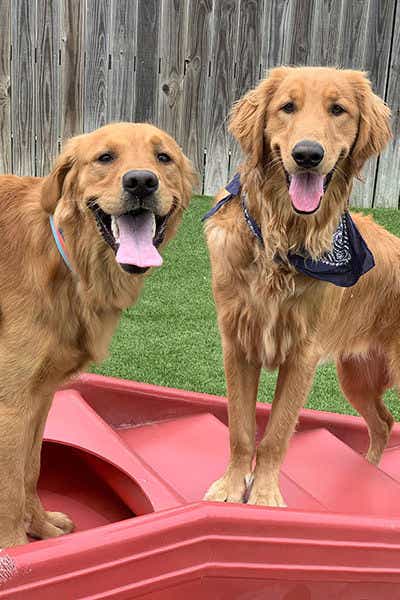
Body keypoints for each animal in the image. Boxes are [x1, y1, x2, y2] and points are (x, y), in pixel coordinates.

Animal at [0, 120, 195, 544]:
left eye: (163, 157)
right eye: (105, 157)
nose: (141, 182)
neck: (64, 257)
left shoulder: (39, 397)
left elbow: (29, 470)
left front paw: (41, 526)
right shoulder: (10, 403)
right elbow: (8, 490)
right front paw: (17, 548)